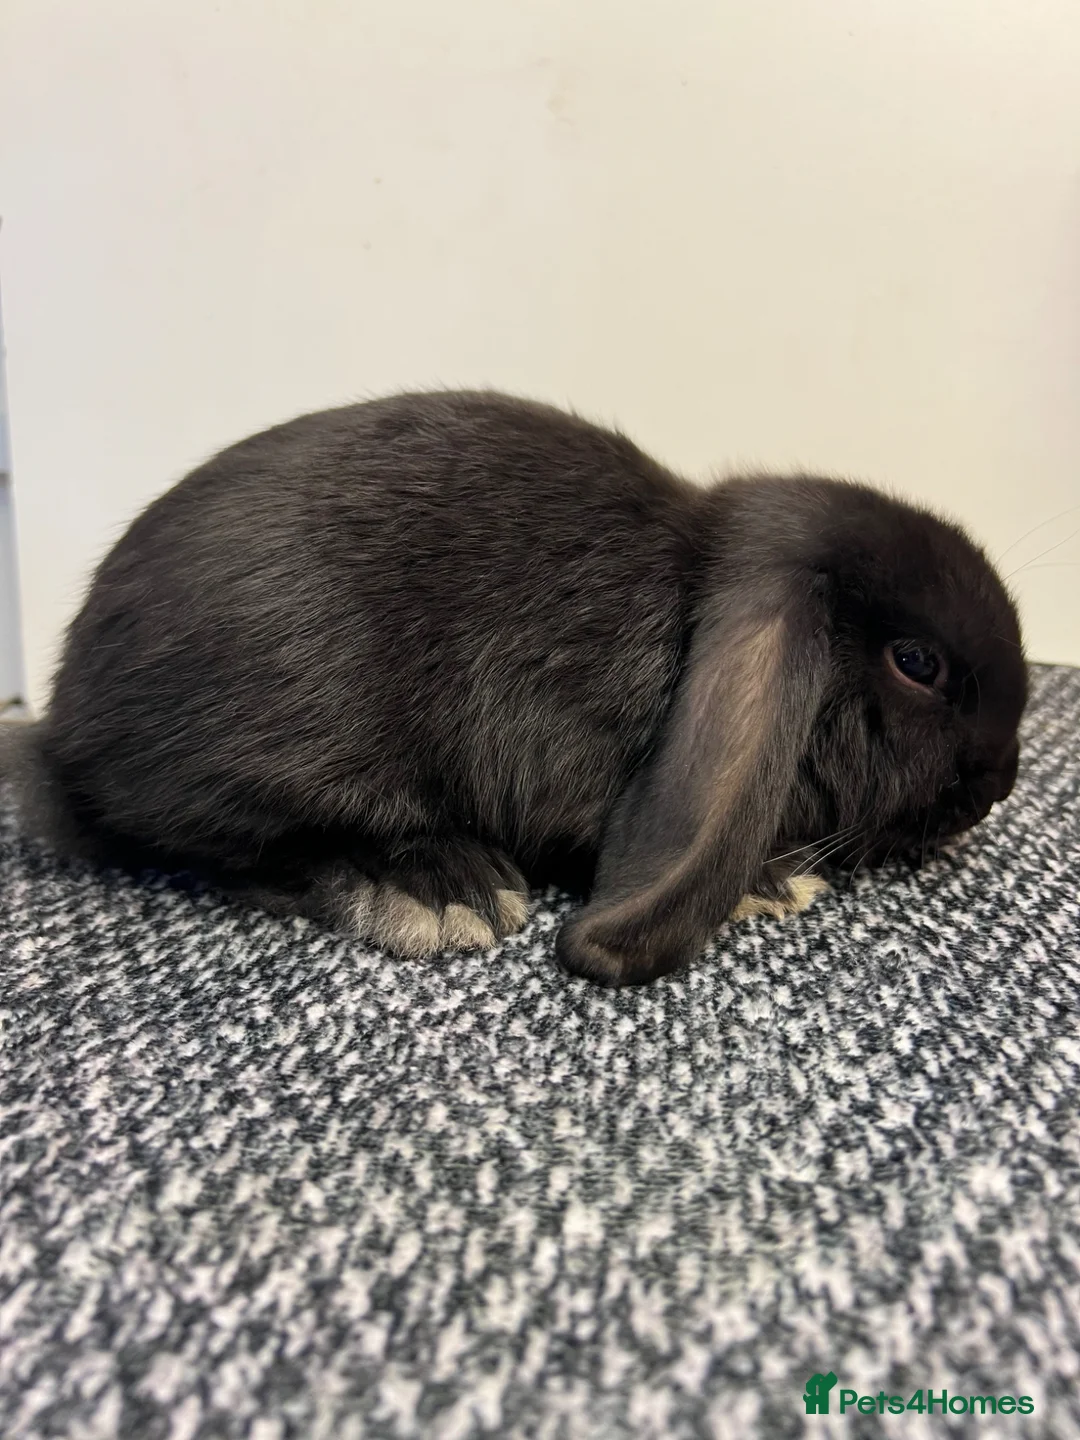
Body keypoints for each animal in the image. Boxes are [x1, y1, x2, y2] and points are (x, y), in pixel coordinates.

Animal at [8, 389, 1027, 985]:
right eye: (918, 664)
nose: (999, 785)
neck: (687, 602)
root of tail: (64, 738)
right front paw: (770, 881)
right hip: (275, 748)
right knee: (243, 853)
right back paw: (436, 887)